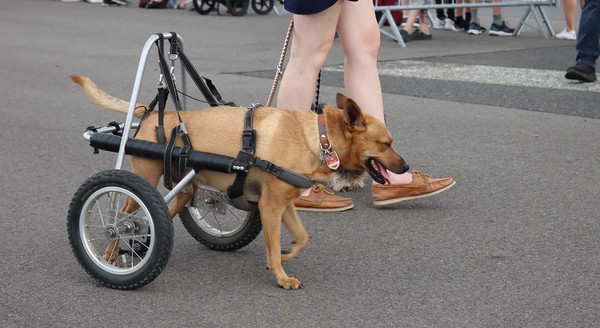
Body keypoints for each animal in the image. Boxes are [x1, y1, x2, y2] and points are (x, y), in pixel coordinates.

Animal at [71, 75, 408, 290]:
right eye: (386, 143)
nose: (406, 166)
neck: (319, 138)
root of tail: (149, 113)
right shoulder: (270, 207)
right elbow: (275, 248)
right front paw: (281, 275)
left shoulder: (282, 204)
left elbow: (302, 237)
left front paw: (287, 255)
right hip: (141, 181)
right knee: (123, 219)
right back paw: (111, 253)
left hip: (187, 186)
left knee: (163, 214)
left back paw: (139, 246)